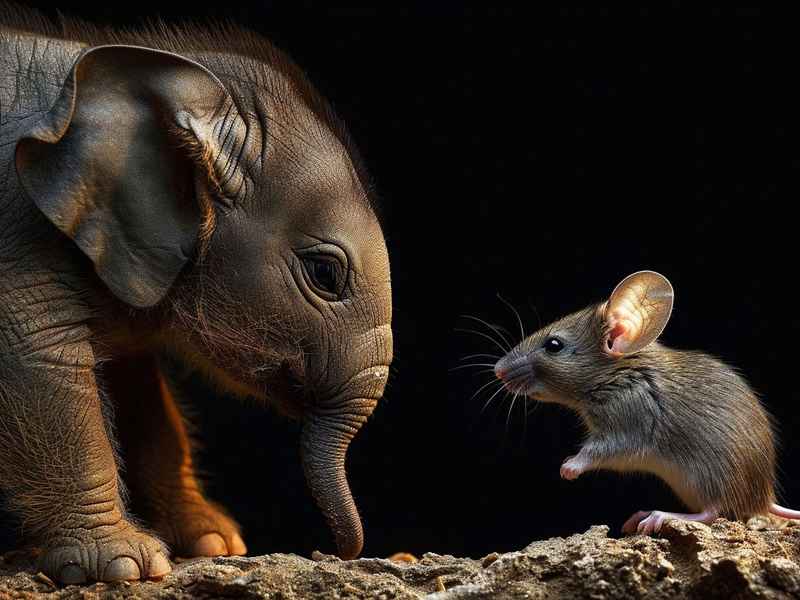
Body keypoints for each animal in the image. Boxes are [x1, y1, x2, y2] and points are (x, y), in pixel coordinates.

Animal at [0, 4, 392, 584]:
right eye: (324, 273)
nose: (341, 551)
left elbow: (138, 385)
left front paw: (213, 543)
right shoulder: (17, 240)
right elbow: (40, 363)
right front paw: (128, 567)